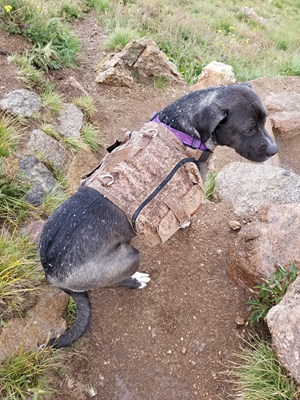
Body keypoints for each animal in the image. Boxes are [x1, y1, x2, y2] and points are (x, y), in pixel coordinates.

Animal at [38, 83, 278, 346]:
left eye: (265, 121)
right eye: (248, 129)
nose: (275, 149)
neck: (181, 128)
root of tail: (50, 271)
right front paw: (184, 223)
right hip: (127, 257)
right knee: (115, 281)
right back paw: (136, 280)